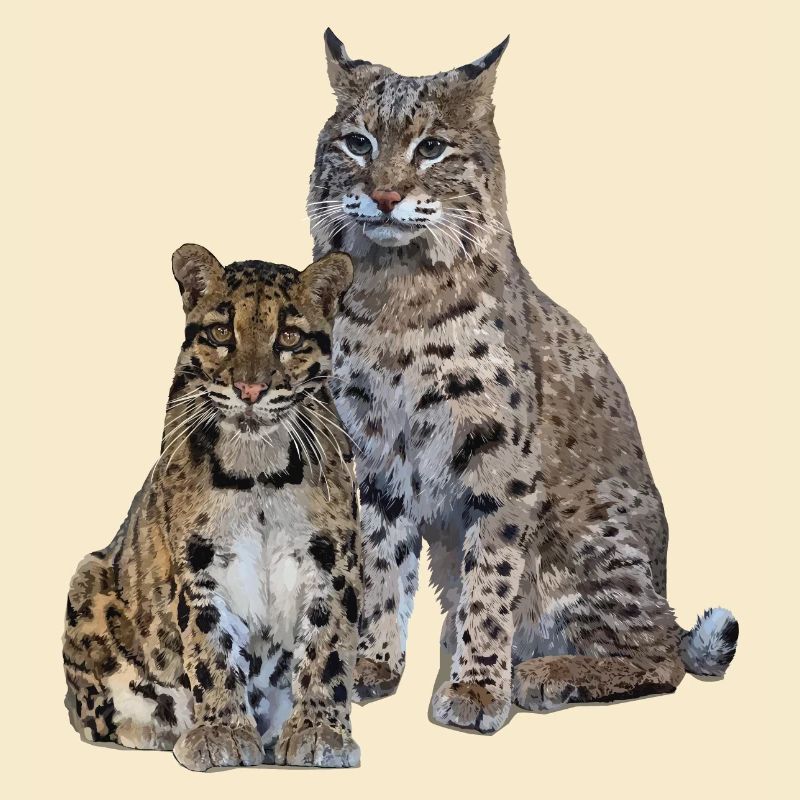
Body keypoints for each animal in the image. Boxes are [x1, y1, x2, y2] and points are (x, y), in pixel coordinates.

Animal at [62, 243, 362, 768]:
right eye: (223, 332)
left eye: (288, 336)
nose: (250, 390)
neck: (259, 471)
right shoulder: (199, 562)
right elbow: (211, 647)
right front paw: (221, 731)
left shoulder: (331, 559)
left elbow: (328, 647)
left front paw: (319, 731)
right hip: (87, 578)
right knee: (98, 714)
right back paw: (159, 729)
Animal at [306, 30, 739, 733]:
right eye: (358, 144)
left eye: (432, 148)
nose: (387, 197)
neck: (395, 291)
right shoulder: (375, 454)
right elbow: (380, 561)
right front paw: (370, 662)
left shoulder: (499, 458)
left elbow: (493, 576)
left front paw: (478, 690)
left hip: (588, 539)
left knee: (664, 653)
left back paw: (545, 673)